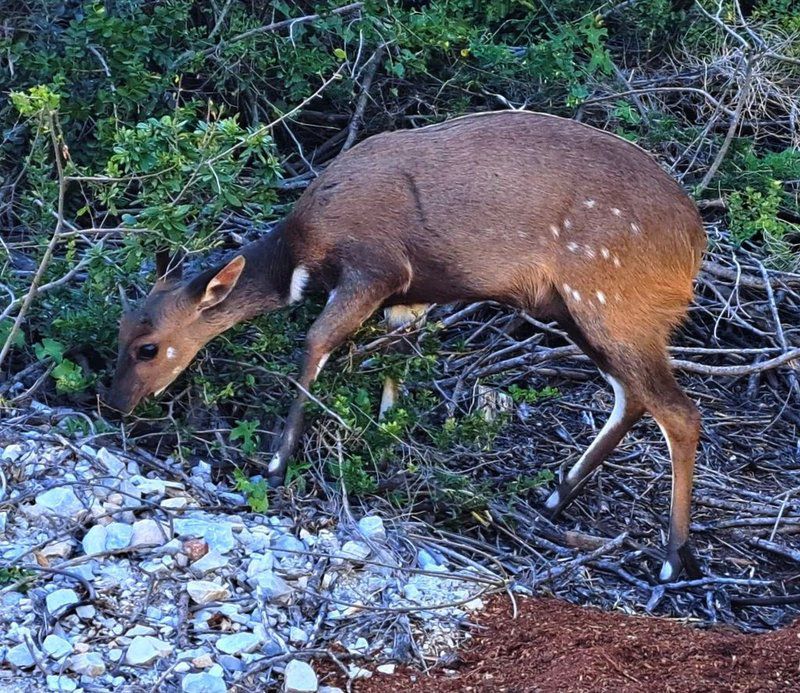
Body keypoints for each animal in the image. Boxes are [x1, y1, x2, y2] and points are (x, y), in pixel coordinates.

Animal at [104, 111, 708, 580]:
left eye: (148, 347)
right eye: (120, 330)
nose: (112, 403)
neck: (303, 253)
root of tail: (694, 245)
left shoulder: (375, 268)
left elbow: (315, 342)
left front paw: (274, 465)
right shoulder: (411, 296)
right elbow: (396, 360)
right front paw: (387, 443)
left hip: (609, 302)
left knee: (678, 410)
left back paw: (672, 559)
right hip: (577, 312)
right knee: (633, 397)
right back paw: (554, 497)